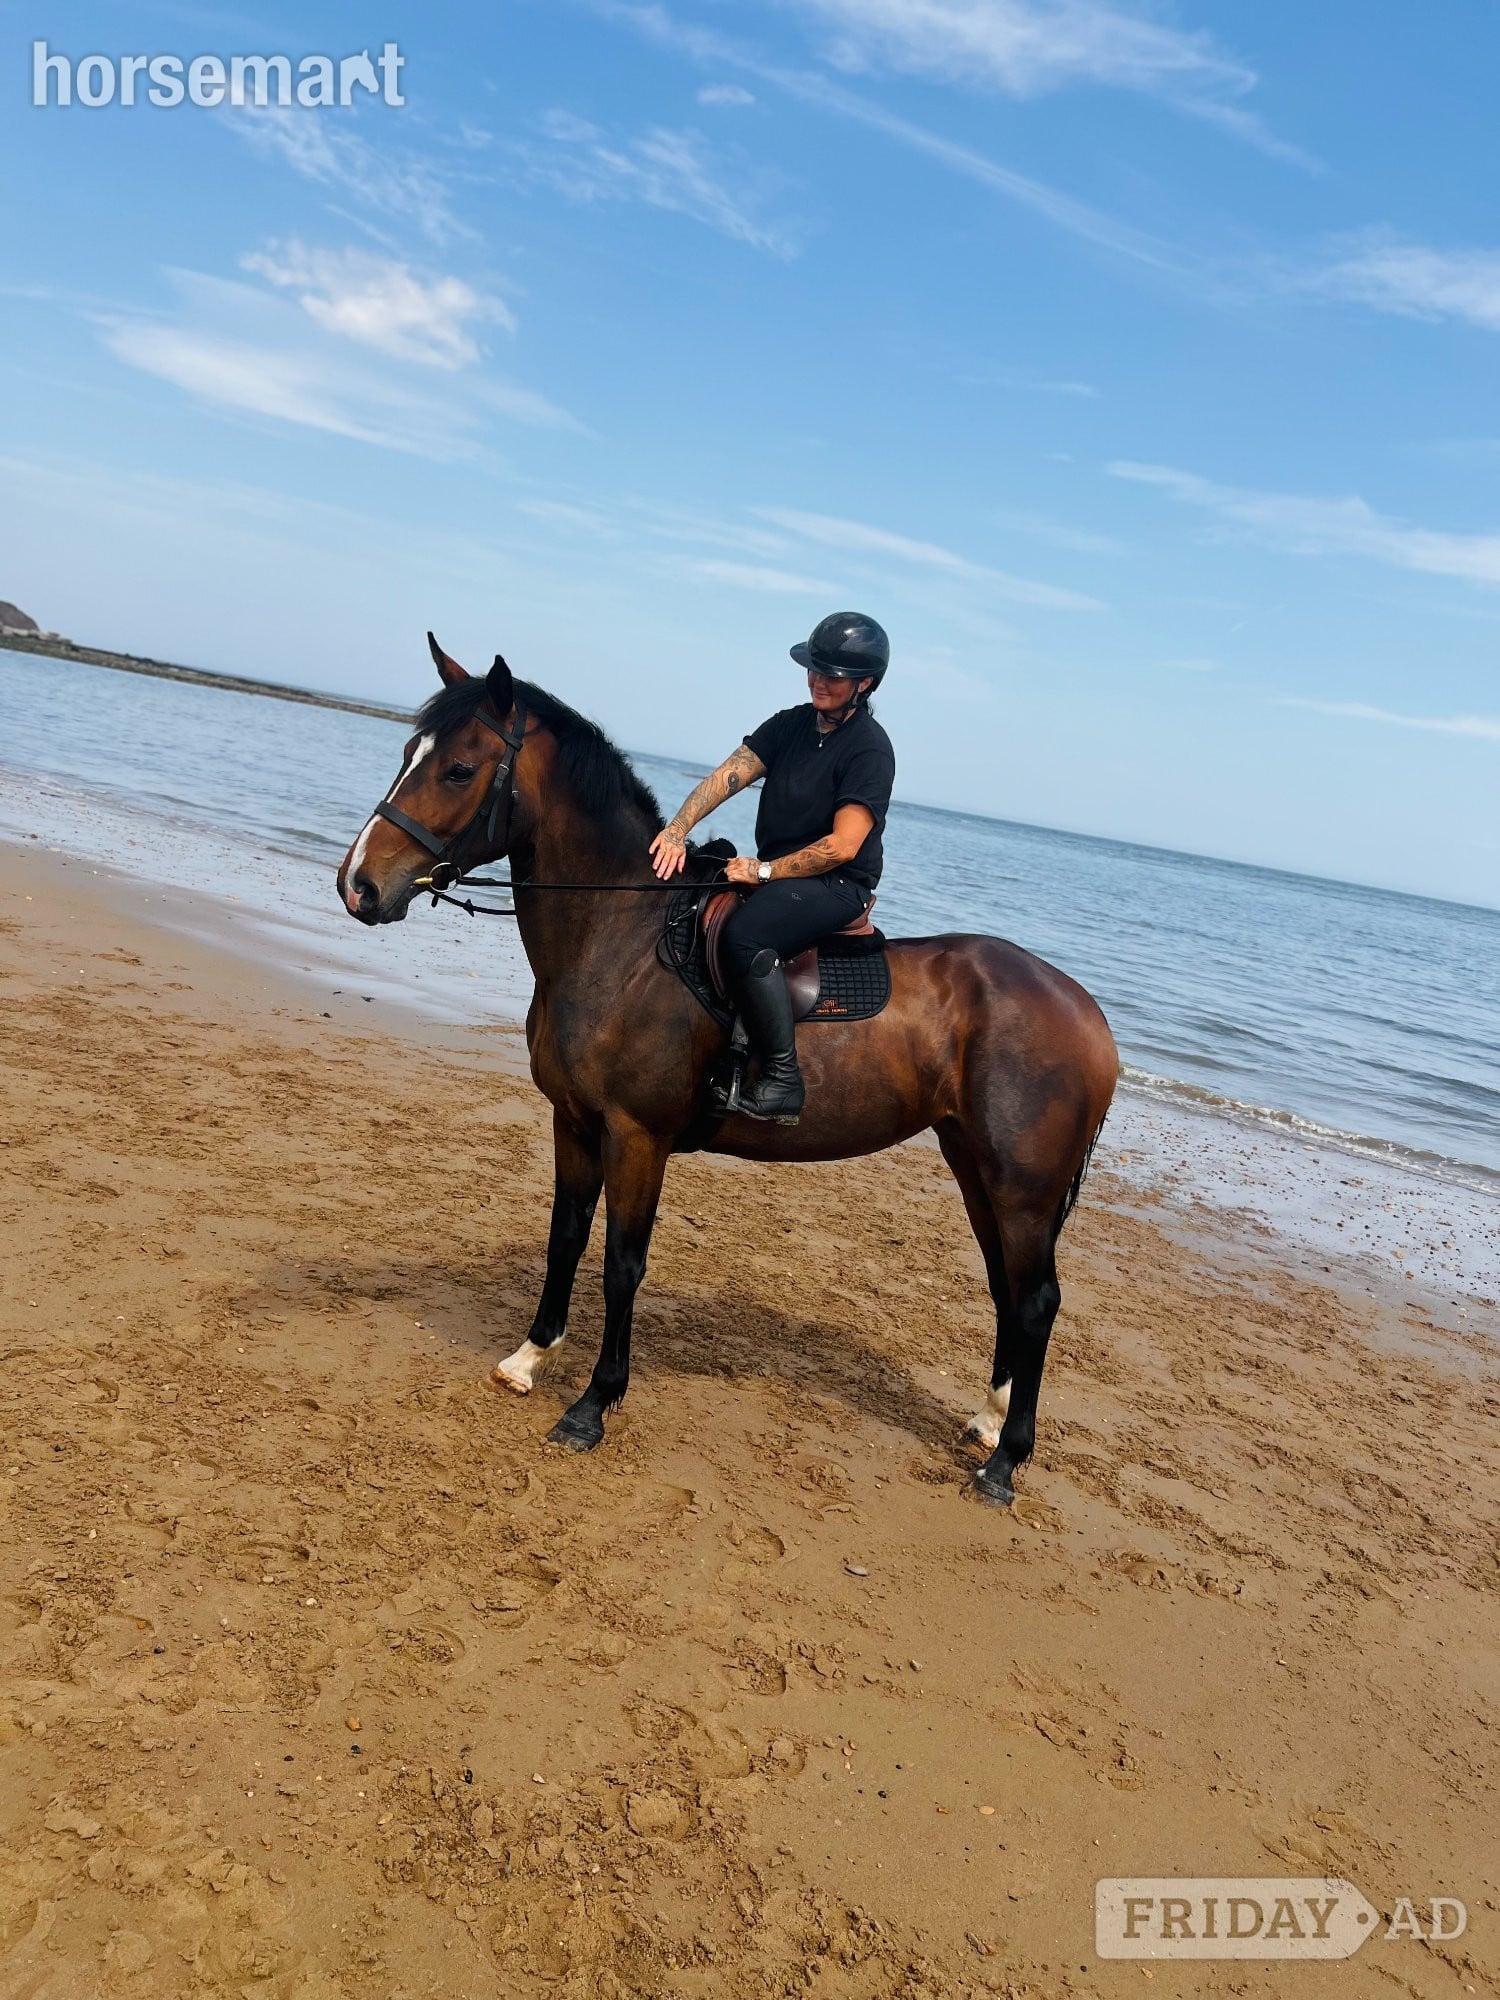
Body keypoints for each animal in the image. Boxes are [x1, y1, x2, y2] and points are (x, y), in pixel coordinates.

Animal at [336, 638, 1119, 1504]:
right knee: (1008, 1289)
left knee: (1037, 1300)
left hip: (1022, 1186)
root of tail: (1085, 1013)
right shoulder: (572, 1121)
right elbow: (565, 1240)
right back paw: (987, 1421)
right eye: (411, 754)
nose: (359, 885)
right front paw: (529, 1357)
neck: (618, 934)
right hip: (977, 1168)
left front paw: (593, 1404)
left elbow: (622, 1265)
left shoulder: (636, 1137)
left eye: (458, 770)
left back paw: (1006, 1461)